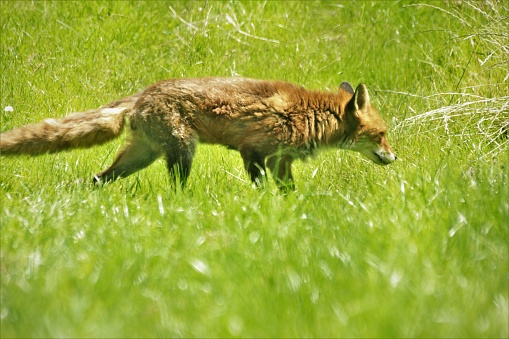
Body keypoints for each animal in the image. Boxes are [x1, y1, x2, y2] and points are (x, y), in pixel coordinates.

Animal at [0, 77, 394, 193]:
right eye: (382, 135)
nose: (395, 157)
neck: (310, 115)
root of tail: (143, 93)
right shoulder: (253, 151)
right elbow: (260, 187)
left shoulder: (280, 161)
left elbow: (288, 192)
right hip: (181, 151)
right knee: (176, 188)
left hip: (140, 156)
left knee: (97, 178)